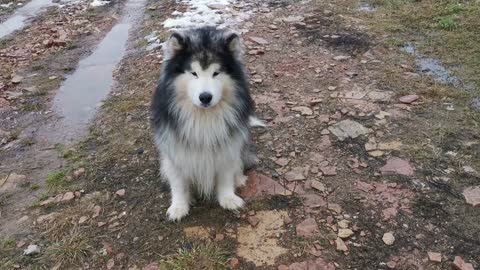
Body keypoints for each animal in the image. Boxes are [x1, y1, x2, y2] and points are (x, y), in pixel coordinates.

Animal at [152, 26, 264, 221]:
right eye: (193, 73)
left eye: (216, 73)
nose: (205, 97)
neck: (203, 117)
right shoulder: (175, 149)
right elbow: (179, 183)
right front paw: (179, 207)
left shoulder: (227, 147)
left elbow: (226, 175)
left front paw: (228, 198)